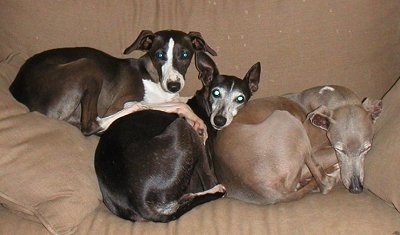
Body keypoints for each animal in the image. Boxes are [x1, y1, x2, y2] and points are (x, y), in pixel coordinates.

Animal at [9, 29, 216, 134]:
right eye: (159, 55)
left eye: (185, 54)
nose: (174, 85)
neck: (153, 78)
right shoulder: (118, 104)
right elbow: (177, 104)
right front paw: (195, 119)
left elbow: (183, 100)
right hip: (88, 64)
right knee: (92, 125)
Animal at [94, 51, 262, 222]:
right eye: (216, 92)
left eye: (240, 98)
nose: (219, 120)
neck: (204, 106)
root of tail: (139, 201)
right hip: (185, 129)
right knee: (211, 183)